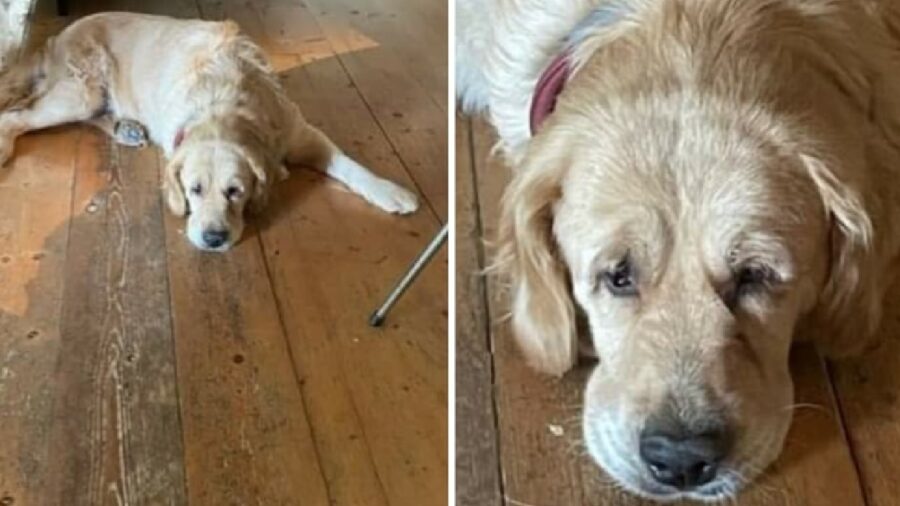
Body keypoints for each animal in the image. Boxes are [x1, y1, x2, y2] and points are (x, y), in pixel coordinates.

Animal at [0, 11, 420, 249]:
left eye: (236, 191)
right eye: (194, 190)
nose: (213, 239)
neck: (225, 101)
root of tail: (57, 36)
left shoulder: (300, 132)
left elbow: (349, 163)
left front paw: (390, 191)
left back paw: (126, 128)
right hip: (80, 92)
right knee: (16, 116)